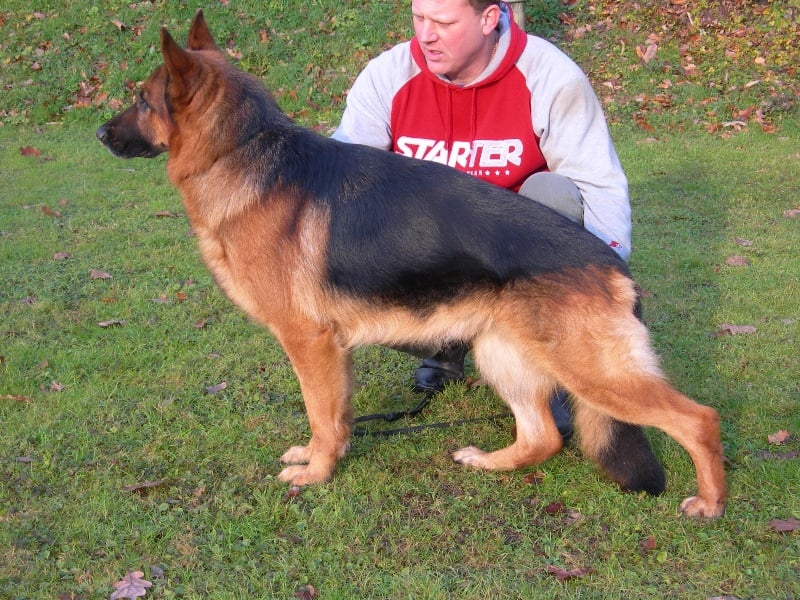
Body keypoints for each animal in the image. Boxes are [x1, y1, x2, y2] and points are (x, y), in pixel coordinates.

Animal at [98, 11, 724, 516]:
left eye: (142, 101)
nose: (100, 132)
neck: (242, 150)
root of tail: (613, 265)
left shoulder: (309, 342)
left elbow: (322, 414)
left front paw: (316, 474)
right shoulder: (331, 350)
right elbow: (332, 417)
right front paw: (320, 457)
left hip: (591, 370)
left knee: (699, 418)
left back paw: (710, 503)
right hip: (501, 353)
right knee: (542, 436)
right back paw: (489, 461)